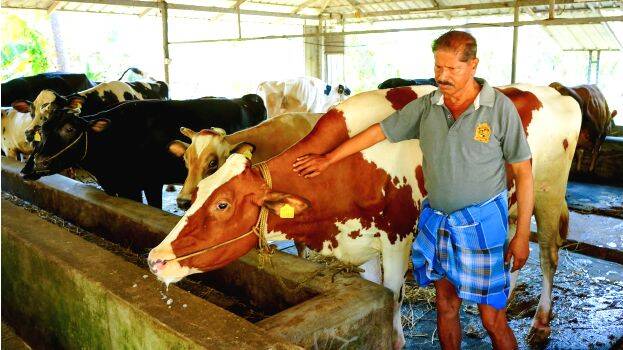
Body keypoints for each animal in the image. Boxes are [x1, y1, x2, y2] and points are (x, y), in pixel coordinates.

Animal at [149, 85, 584, 348]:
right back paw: (500, 303)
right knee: (510, 252)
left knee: (548, 254)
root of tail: (553, 90)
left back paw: (540, 324)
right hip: (510, 203)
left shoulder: (397, 237)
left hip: (546, 192)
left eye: (222, 204)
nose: (156, 259)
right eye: (200, 186)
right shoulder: (362, 238)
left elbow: (393, 296)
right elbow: (377, 292)